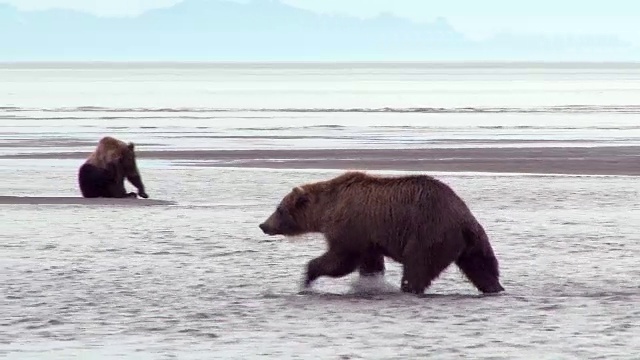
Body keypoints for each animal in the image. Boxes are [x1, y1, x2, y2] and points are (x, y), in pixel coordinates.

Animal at [258, 172, 504, 296]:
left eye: (279, 209)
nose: (263, 225)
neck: (327, 208)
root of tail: (463, 219)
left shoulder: (351, 227)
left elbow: (340, 260)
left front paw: (308, 276)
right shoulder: (368, 237)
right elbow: (370, 264)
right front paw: (369, 283)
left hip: (429, 235)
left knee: (417, 267)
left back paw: (408, 289)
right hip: (474, 241)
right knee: (482, 268)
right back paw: (495, 288)